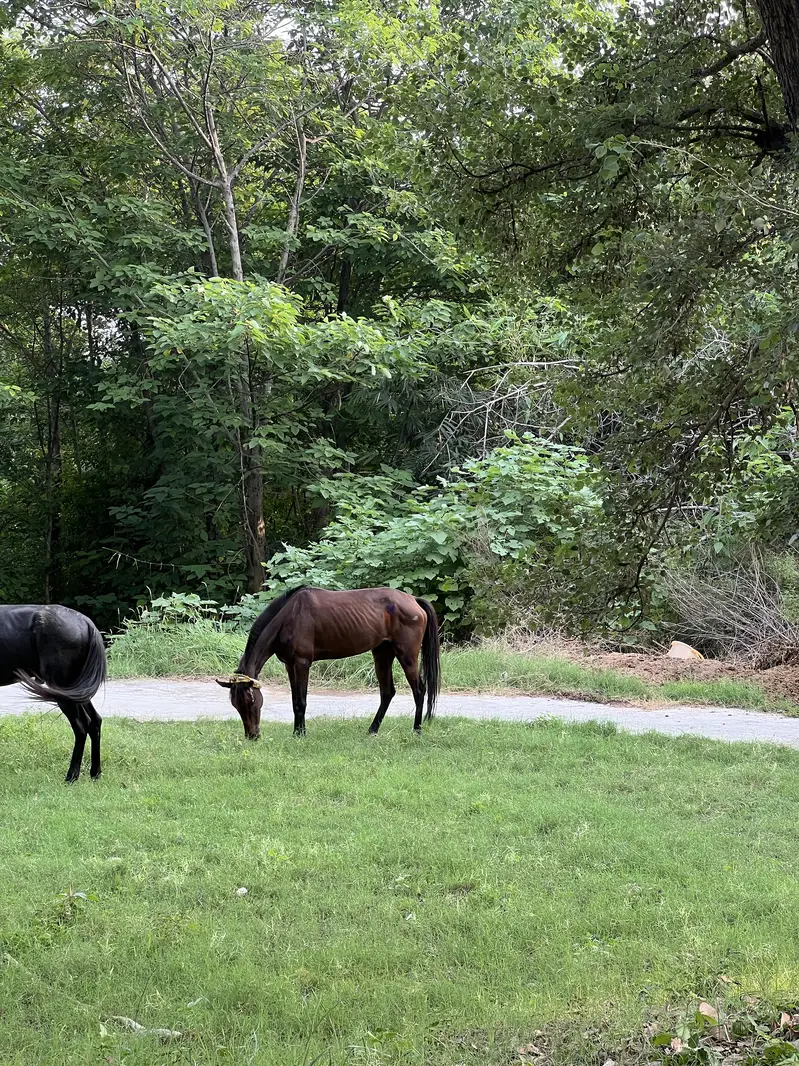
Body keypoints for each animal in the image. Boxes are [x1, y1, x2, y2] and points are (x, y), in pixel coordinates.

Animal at [0, 604, 106, 782]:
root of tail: (86, 622)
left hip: (64, 690)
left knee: (81, 727)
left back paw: (71, 776)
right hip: (78, 690)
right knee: (95, 721)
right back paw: (95, 773)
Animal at [217, 586, 440, 739]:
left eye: (251, 700)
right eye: (235, 704)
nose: (252, 736)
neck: (288, 616)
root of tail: (413, 600)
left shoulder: (302, 663)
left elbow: (301, 701)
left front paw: (300, 734)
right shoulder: (290, 665)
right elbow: (294, 701)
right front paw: (297, 731)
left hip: (407, 656)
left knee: (419, 690)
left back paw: (416, 730)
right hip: (382, 654)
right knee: (387, 692)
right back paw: (372, 730)